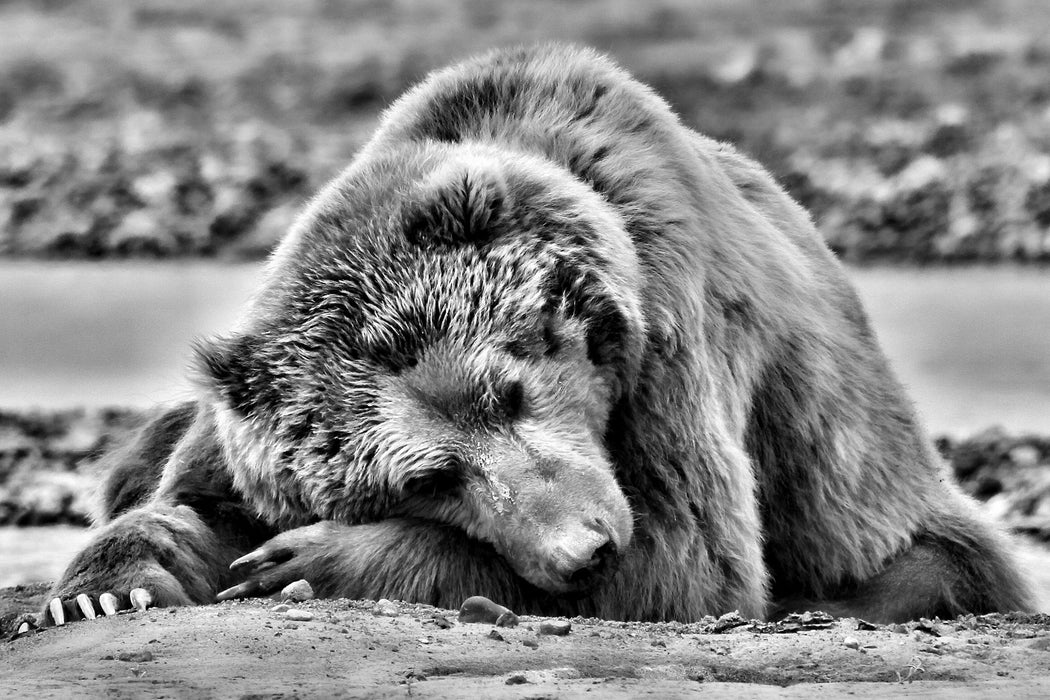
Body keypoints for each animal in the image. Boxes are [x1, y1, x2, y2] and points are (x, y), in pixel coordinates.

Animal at [43, 43, 1033, 625]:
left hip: (874, 496)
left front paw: (309, 557)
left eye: (510, 388)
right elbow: (186, 499)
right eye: (429, 477)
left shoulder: (672, 327)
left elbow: (689, 559)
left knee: (922, 564)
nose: (582, 547)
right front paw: (103, 588)